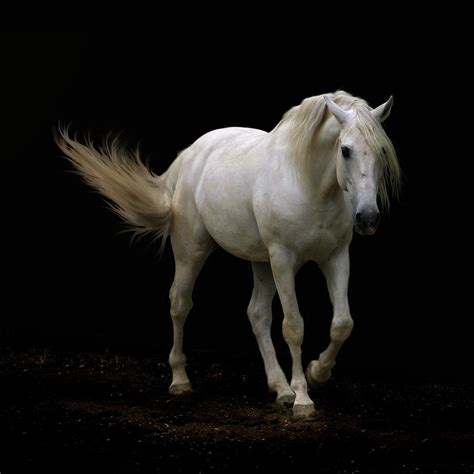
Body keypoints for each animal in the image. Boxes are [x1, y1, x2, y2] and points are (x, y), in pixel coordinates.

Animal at [57, 90, 402, 416]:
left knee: (257, 314)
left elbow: (342, 323)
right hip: (193, 251)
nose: (367, 218)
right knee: (180, 304)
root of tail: (189, 156)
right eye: (345, 150)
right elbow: (293, 326)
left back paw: (280, 387)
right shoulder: (283, 259)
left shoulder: (336, 257)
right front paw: (304, 398)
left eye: (382, 152)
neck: (308, 182)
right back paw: (180, 380)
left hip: (260, 262)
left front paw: (317, 372)